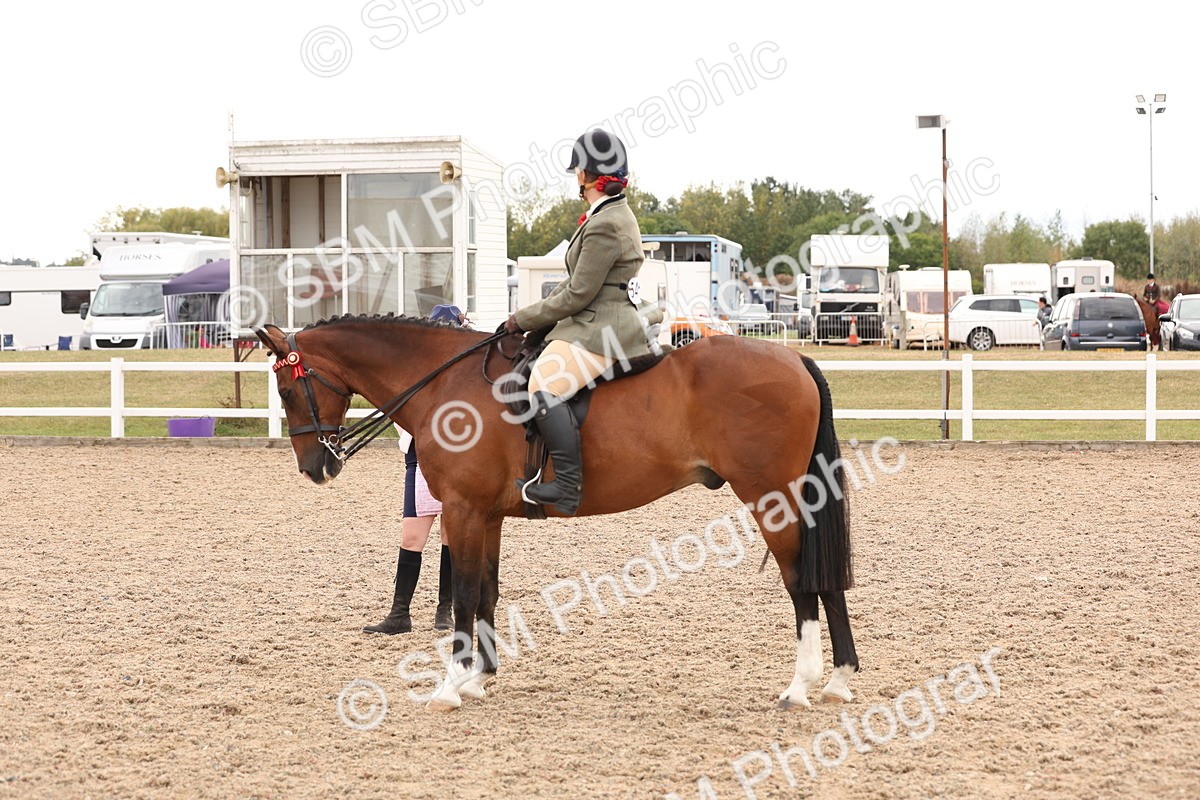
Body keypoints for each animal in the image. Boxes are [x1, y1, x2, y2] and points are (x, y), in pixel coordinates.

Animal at [253, 315, 857, 712]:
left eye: (285, 388)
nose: (314, 467)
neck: (445, 383)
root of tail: (793, 357)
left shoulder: (463, 509)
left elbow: (465, 594)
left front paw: (451, 686)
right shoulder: (487, 515)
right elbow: (488, 591)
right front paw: (479, 678)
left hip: (771, 497)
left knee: (801, 580)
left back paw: (800, 687)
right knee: (826, 581)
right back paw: (839, 680)